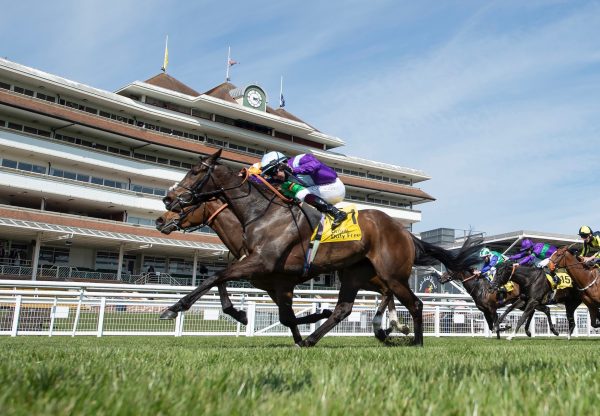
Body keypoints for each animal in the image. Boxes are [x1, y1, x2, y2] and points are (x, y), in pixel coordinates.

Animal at [155, 200, 410, 342]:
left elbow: (286, 317)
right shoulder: (263, 282)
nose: (160, 220)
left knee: (389, 289)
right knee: (387, 291)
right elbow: (221, 283)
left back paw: (391, 326)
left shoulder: (281, 283)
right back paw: (389, 326)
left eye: (185, 204)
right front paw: (240, 314)